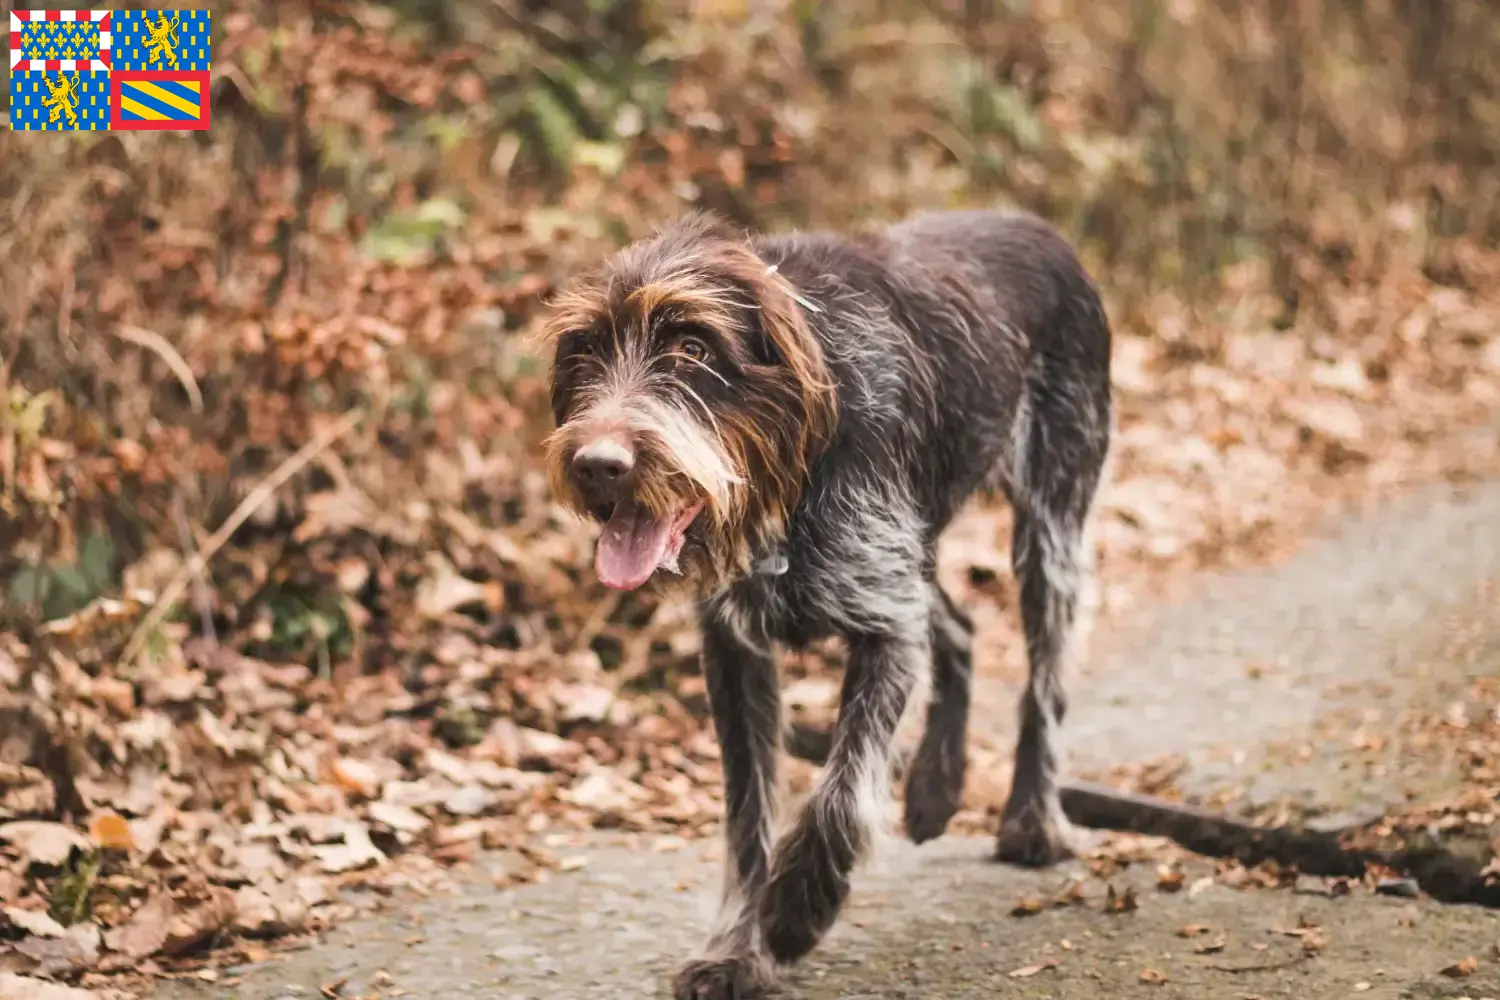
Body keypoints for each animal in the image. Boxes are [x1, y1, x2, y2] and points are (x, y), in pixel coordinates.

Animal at [540, 206, 1116, 995]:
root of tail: (1039, 227)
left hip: (1050, 526)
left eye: (693, 347)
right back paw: (936, 788)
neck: (790, 473)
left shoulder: (884, 624)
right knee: (958, 628)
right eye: (585, 353)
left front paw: (797, 907)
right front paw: (735, 950)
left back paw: (1032, 819)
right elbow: (747, 817)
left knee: (1044, 681)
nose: (599, 465)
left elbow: (842, 792)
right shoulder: (735, 650)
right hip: (915, 549)